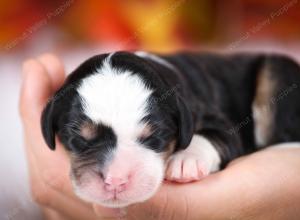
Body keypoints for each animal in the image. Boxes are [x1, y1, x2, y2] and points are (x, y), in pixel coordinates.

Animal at [41, 51, 300, 208]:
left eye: (154, 137)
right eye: (79, 139)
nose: (116, 181)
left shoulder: (221, 122)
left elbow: (210, 137)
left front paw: (186, 161)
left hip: (276, 72)